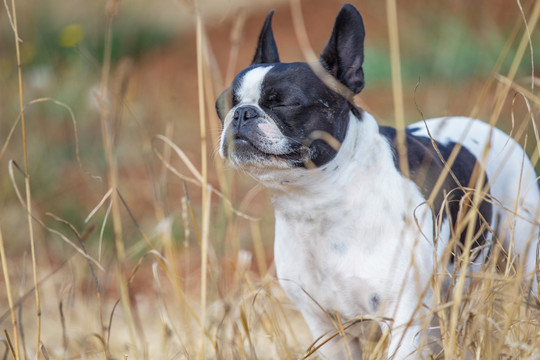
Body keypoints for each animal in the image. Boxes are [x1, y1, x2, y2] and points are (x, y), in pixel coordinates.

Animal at [216, 4, 540, 358]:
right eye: (223, 105)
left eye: (286, 102)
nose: (241, 113)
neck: (319, 203)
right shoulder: (327, 330)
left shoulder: (403, 323)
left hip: (525, 262)